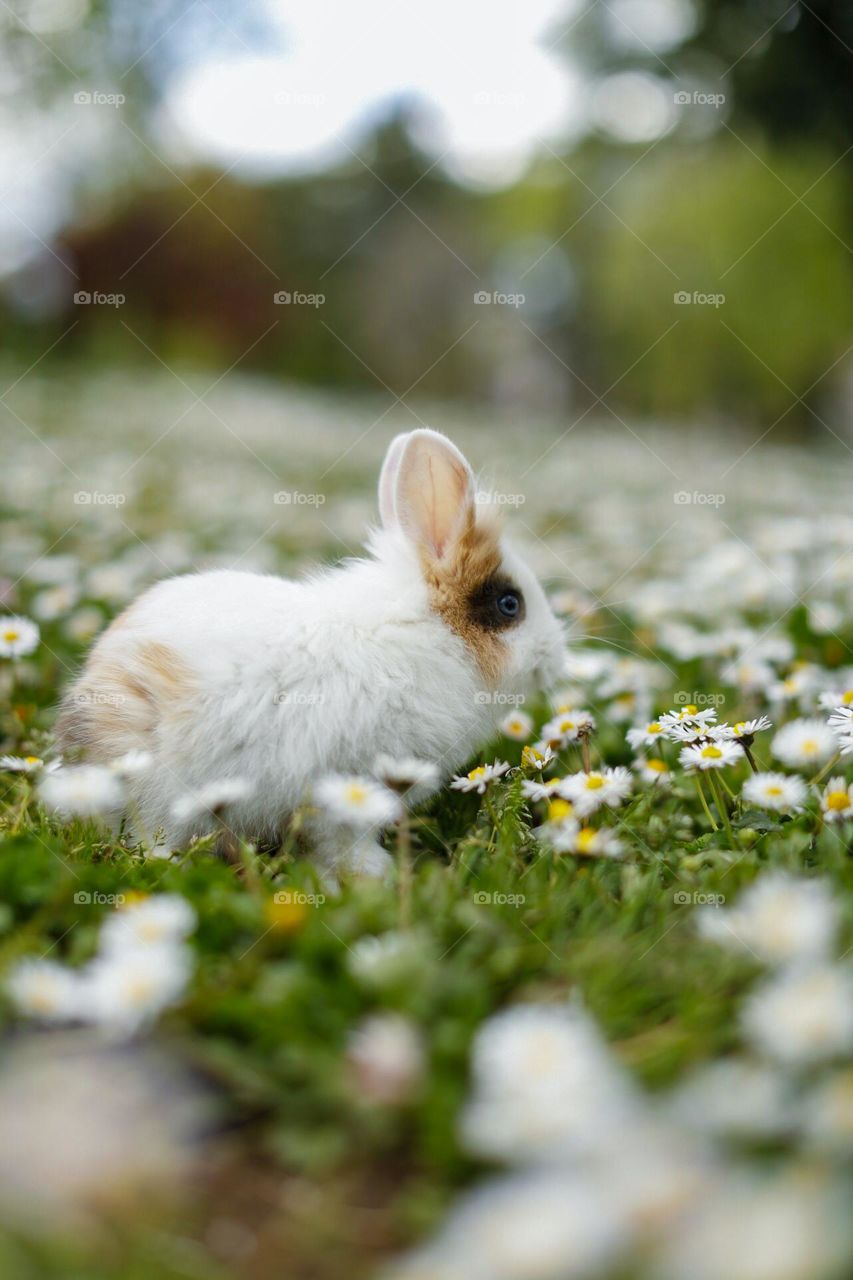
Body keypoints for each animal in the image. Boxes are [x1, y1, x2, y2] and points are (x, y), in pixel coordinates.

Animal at [56, 429, 566, 877]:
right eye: (510, 605)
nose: (556, 659)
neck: (434, 634)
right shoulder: (344, 786)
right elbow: (341, 839)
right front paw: (375, 873)